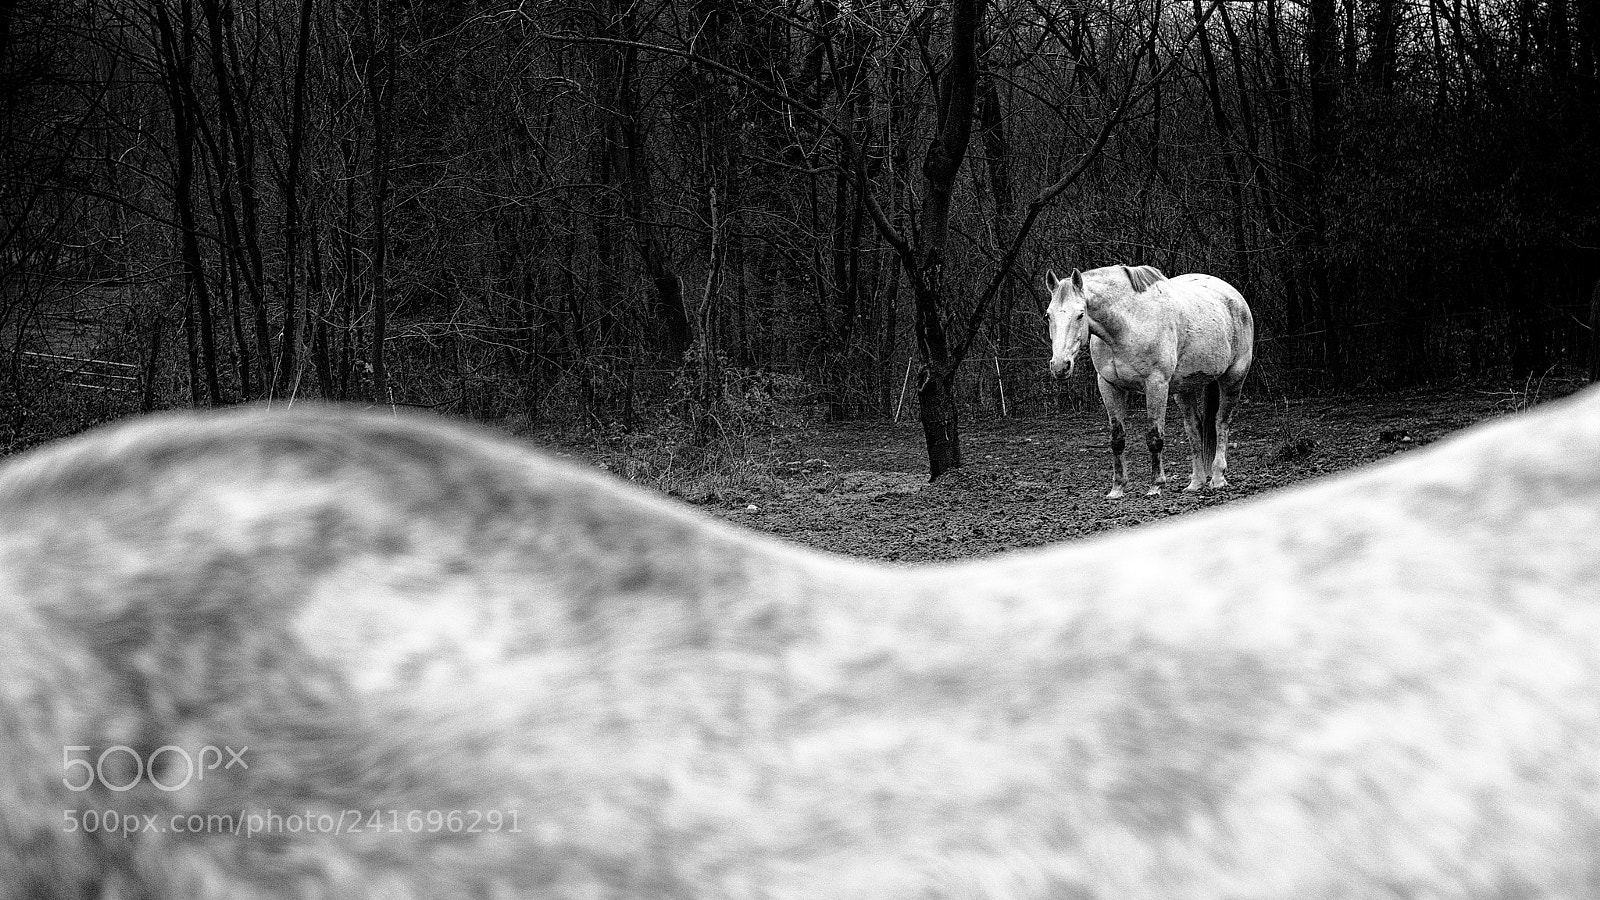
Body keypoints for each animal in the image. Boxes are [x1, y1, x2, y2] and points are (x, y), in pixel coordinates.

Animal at [1046, 264, 1255, 498]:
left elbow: (1154, 437)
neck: (1129, 324)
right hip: (1185, 389)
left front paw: (1156, 485)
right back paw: (1196, 483)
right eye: (1048, 316)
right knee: (1194, 428)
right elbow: (1117, 439)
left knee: (1221, 423)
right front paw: (1117, 488)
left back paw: (1217, 478)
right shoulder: (1108, 386)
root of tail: (1234, 296)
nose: (1060, 366)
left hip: (1232, 379)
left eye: (1081, 314)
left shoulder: (1156, 385)